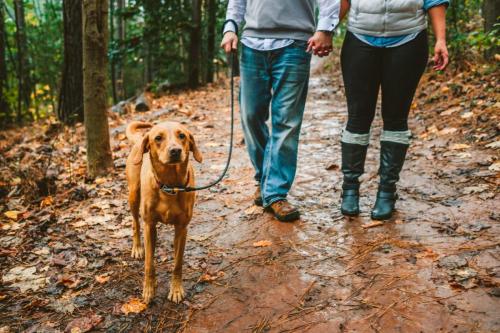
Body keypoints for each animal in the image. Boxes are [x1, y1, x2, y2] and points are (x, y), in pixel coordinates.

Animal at [126, 120, 202, 304]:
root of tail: (140, 138)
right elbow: (149, 263)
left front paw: (176, 289)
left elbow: (177, 263)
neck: (170, 185)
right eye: (158, 138)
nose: (175, 150)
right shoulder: (149, 225)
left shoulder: (182, 228)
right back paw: (137, 247)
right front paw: (148, 289)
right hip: (134, 195)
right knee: (135, 222)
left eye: (182, 135)